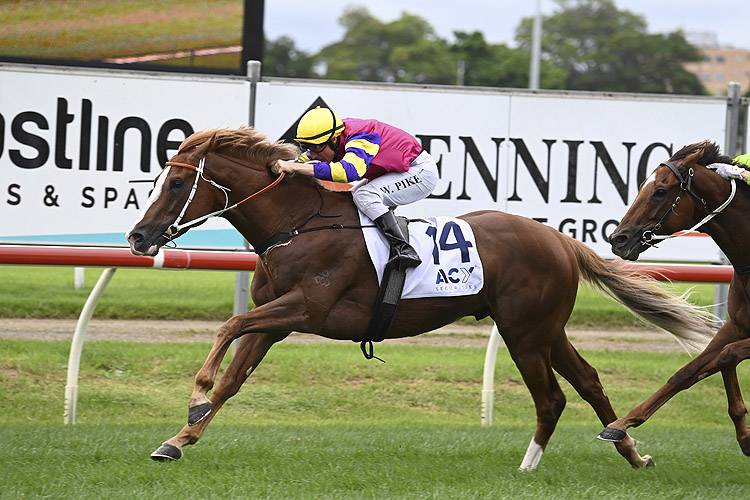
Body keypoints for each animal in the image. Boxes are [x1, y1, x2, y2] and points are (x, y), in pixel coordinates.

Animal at [125, 127, 716, 470]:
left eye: (175, 185)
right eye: (155, 182)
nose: (137, 237)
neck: (295, 223)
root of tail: (559, 238)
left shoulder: (305, 308)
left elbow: (227, 330)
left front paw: (195, 394)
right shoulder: (275, 322)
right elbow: (233, 378)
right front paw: (178, 438)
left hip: (524, 332)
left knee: (551, 398)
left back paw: (527, 468)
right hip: (546, 329)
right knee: (589, 381)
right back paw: (631, 451)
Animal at [604, 141, 750, 458]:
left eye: (660, 191)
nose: (618, 239)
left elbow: (726, 355)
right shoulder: (736, 326)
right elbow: (688, 372)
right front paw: (620, 424)